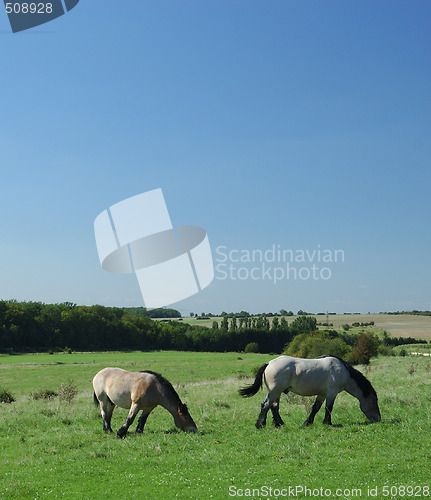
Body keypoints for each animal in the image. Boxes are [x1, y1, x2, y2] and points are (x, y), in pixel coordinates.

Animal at [240, 354, 382, 428]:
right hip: (275, 391)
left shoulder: (322, 394)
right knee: (266, 405)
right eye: (374, 402)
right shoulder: (331, 393)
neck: (344, 372)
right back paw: (261, 424)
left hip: (277, 392)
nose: (378, 419)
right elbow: (328, 408)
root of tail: (268, 363)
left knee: (273, 407)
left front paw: (308, 422)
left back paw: (279, 424)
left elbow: (315, 408)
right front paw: (327, 423)